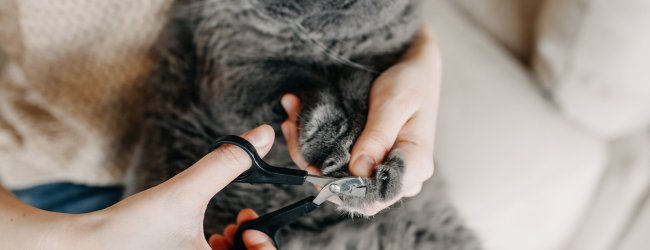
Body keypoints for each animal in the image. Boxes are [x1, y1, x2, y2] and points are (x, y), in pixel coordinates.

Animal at [128, 0, 480, 249]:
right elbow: (306, 82)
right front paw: (330, 141)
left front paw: (382, 177)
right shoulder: (233, 68)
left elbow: (360, 86)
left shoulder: (383, 60)